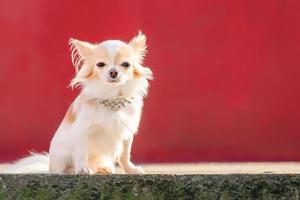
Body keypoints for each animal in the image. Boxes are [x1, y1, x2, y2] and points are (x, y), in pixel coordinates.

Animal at [0, 31, 152, 173]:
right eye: (100, 64)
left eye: (126, 64)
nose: (113, 72)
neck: (112, 98)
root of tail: (49, 167)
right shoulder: (83, 131)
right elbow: (82, 152)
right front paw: (83, 169)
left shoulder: (126, 132)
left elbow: (125, 155)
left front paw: (131, 170)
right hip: (61, 155)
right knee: (65, 167)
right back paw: (72, 170)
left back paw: (102, 168)